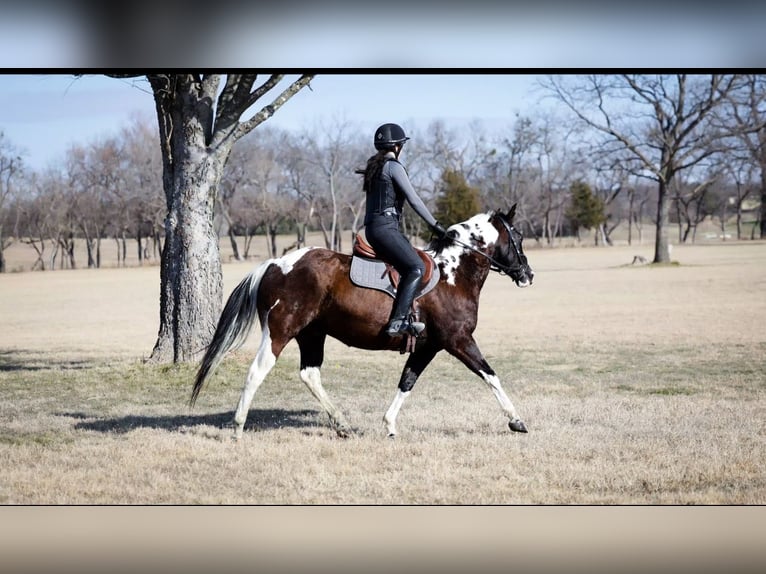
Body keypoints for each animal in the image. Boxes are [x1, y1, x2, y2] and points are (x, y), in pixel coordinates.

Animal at [191, 204, 534, 439]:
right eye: (517, 235)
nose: (528, 275)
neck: (452, 273)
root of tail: (275, 263)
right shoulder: (458, 341)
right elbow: (491, 376)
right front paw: (516, 420)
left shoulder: (429, 347)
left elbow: (407, 382)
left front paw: (390, 425)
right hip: (280, 332)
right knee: (258, 371)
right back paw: (238, 427)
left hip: (312, 334)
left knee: (310, 374)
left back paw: (342, 424)